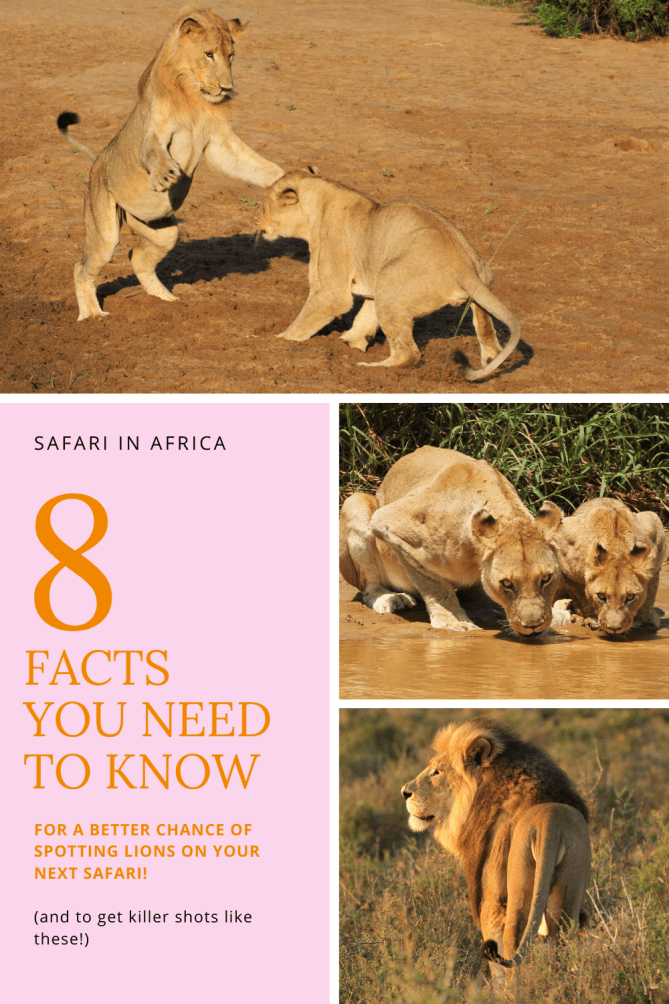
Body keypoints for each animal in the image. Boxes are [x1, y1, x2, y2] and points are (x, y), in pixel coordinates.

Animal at [58, 6, 283, 321]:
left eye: (231, 56)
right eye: (209, 54)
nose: (227, 88)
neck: (192, 95)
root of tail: (98, 160)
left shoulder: (219, 142)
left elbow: (256, 165)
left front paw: (288, 182)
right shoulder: (155, 131)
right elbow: (151, 152)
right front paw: (165, 176)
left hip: (163, 230)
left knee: (138, 257)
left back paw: (167, 302)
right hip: (105, 233)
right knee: (82, 267)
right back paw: (92, 316)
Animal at [254, 169, 522, 380]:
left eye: (264, 204)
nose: (255, 222)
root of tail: (464, 269)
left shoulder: (331, 291)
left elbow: (304, 322)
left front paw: (277, 340)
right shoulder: (371, 283)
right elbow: (364, 317)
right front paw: (348, 342)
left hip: (391, 284)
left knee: (409, 354)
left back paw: (369, 367)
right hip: (475, 279)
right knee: (487, 332)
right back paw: (490, 360)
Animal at [339, 446, 564, 635]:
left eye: (546, 578)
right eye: (507, 583)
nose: (533, 627)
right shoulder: (390, 524)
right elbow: (435, 585)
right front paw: (454, 621)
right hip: (355, 502)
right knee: (369, 588)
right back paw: (391, 598)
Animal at [402, 719, 591, 986]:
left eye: (437, 771)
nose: (404, 792)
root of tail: (551, 825)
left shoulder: (490, 899)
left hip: (518, 888)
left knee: (512, 947)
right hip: (568, 892)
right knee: (563, 941)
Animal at [549, 498, 666, 635]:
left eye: (630, 597)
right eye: (601, 596)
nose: (614, 629)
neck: (617, 549)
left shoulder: (655, 528)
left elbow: (651, 593)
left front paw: (647, 620)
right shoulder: (563, 546)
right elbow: (581, 596)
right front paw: (588, 619)